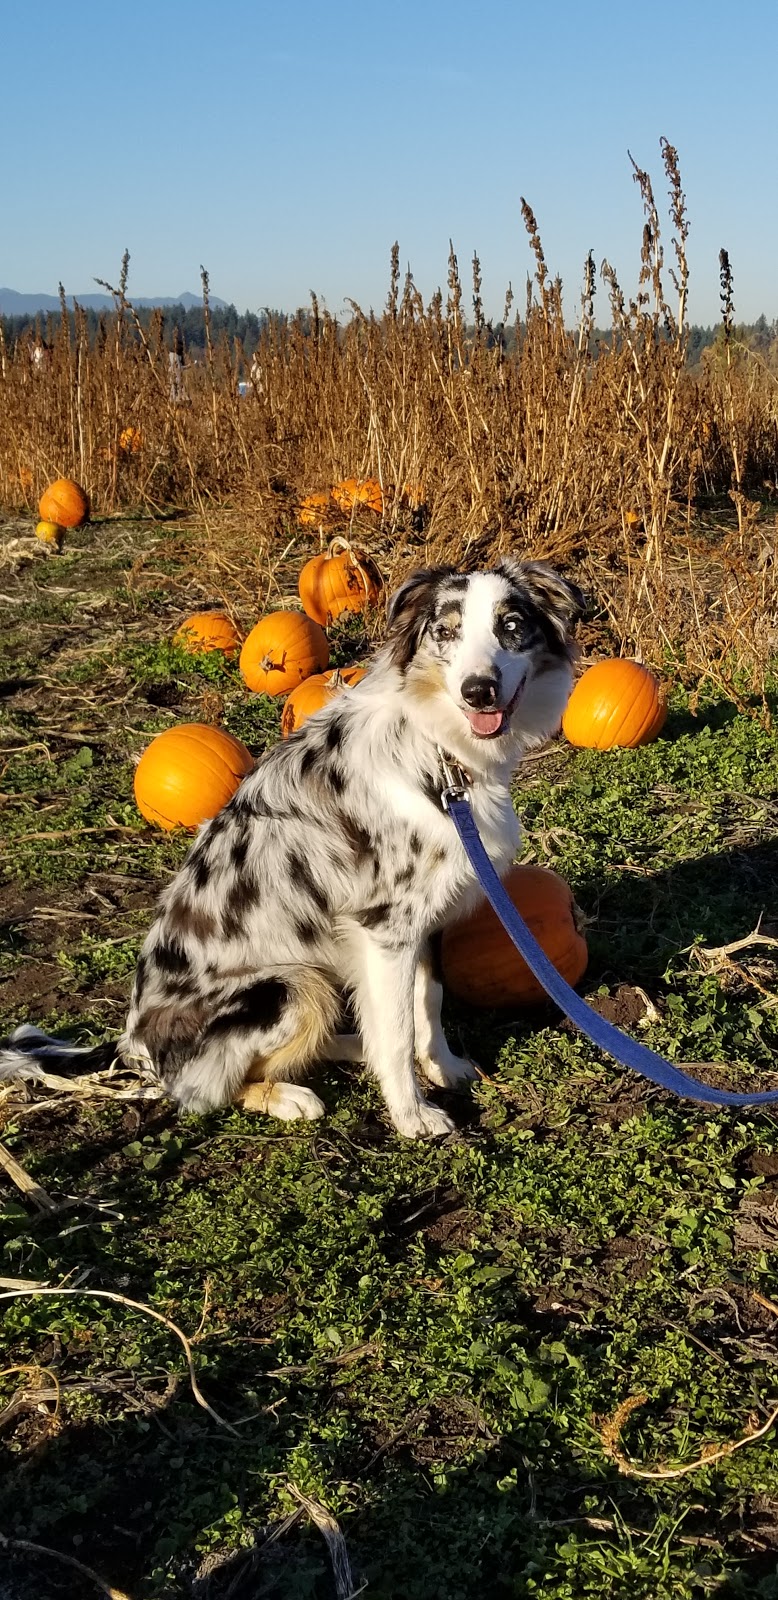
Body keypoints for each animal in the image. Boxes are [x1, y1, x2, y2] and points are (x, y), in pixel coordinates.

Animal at [1, 563, 582, 1139]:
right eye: (446, 632)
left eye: (511, 627)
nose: (478, 691)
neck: (438, 751)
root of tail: (134, 1045)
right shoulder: (385, 926)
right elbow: (396, 1030)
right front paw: (412, 1114)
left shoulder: (427, 915)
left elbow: (428, 1000)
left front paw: (441, 1065)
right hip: (290, 984)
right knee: (203, 1091)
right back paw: (288, 1095)